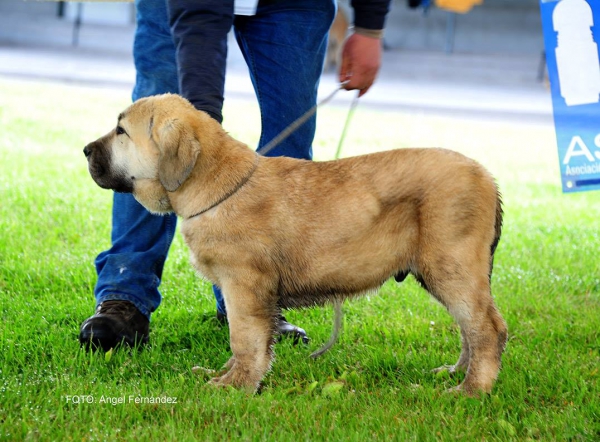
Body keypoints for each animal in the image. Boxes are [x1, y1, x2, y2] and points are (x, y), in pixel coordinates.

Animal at [83, 94, 506, 398]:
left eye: (121, 131)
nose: (86, 150)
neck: (216, 186)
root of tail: (487, 176)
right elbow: (249, 341)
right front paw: (228, 375)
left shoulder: (244, 285)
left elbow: (244, 339)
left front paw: (235, 386)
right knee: (470, 327)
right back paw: (455, 373)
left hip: (450, 266)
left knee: (486, 328)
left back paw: (470, 390)